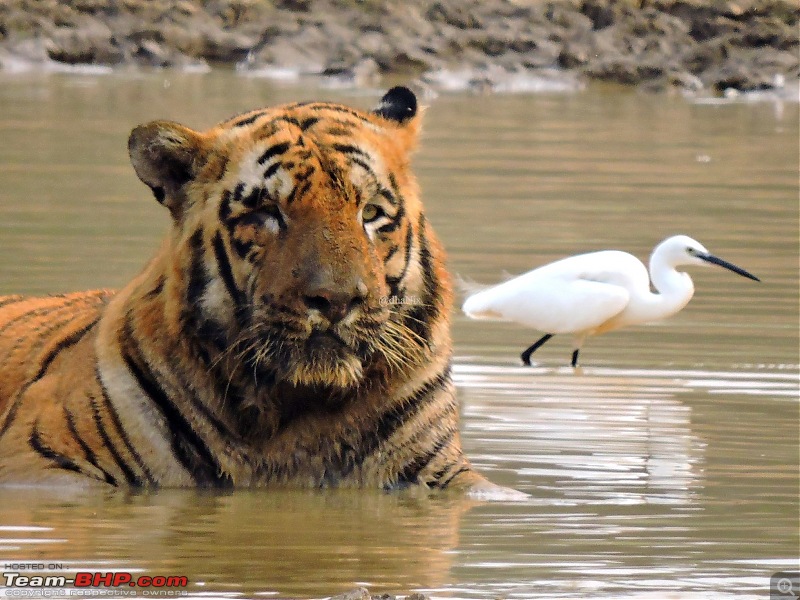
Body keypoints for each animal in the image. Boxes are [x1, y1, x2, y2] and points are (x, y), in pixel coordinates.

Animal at [0, 86, 520, 496]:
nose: (335, 301)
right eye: (267, 212)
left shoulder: (449, 475)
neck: (299, 412)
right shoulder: (40, 466)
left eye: (371, 213)